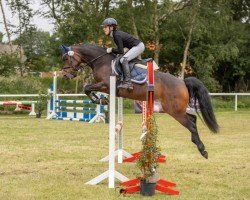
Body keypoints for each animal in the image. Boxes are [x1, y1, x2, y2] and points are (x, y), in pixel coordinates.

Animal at [60, 43, 219, 159]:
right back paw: (198, 145)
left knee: (191, 124)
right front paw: (101, 100)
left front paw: (99, 100)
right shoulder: (105, 86)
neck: (101, 61)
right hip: (178, 109)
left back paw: (203, 150)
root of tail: (182, 82)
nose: (66, 75)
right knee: (193, 119)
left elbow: (87, 88)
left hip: (174, 111)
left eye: (67, 59)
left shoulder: (106, 84)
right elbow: (88, 88)